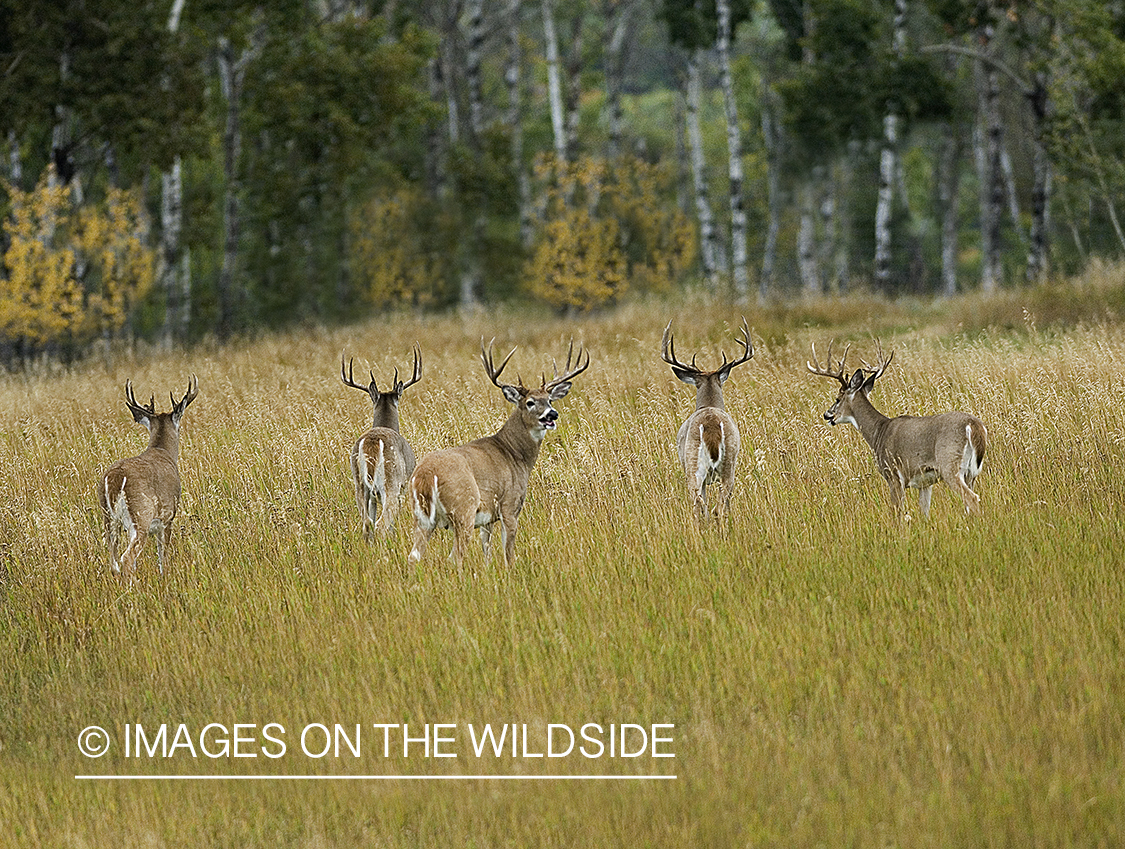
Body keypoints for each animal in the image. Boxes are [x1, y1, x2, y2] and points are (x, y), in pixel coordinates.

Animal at [97, 376, 199, 578]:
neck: (162, 451)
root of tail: (114, 478)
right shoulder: (167, 516)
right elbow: (163, 556)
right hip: (141, 515)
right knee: (127, 558)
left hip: (109, 519)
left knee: (114, 561)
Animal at [341, 346, 422, 538]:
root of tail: (371, 443)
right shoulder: (403, 487)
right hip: (390, 483)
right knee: (381, 524)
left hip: (360, 486)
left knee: (367, 524)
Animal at [407, 339, 589, 569]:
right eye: (530, 402)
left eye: (550, 400)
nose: (552, 414)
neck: (514, 454)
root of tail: (425, 476)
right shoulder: (509, 506)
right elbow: (508, 554)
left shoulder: (487, 518)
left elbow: (487, 551)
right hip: (464, 509)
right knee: (455, 557)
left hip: (421, 517)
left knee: (414, 556)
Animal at [807, 341, 987, 519]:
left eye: (837, 399)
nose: (826, 415)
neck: (878, 433)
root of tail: (974, 425)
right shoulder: (924, 482)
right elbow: (924, 513)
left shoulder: (893, 474)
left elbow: (897, 513)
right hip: (971, 473)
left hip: (949, 464)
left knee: (972, 498)